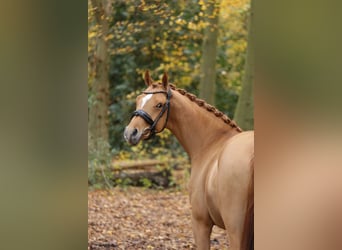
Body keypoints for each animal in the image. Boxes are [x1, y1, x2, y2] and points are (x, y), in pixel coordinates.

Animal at [124, 71, 252, 249]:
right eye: (138, 100)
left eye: (159, 105)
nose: (131, 133)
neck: (211, 143)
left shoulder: (201, 223)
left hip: (235, 231)